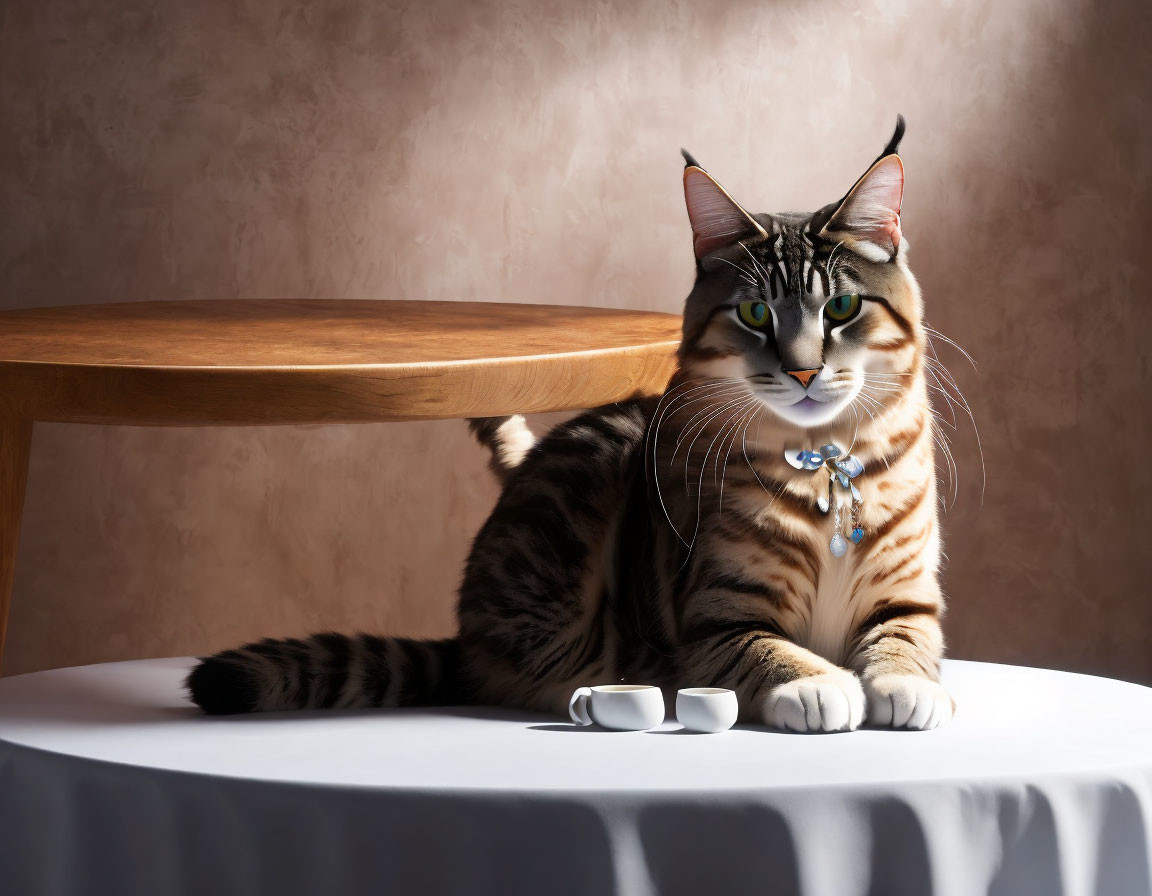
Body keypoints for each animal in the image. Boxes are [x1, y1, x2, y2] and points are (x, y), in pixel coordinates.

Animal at [186, 116, 953, 732]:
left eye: (842, 308)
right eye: (755, 313)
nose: (801, 372)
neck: (824, 463)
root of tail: (466, 633)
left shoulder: (909, 593)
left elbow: (907, 641)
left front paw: (908, 687)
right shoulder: (714, 614)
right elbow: (769, 649)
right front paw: (820, 686)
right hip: (585, 498)